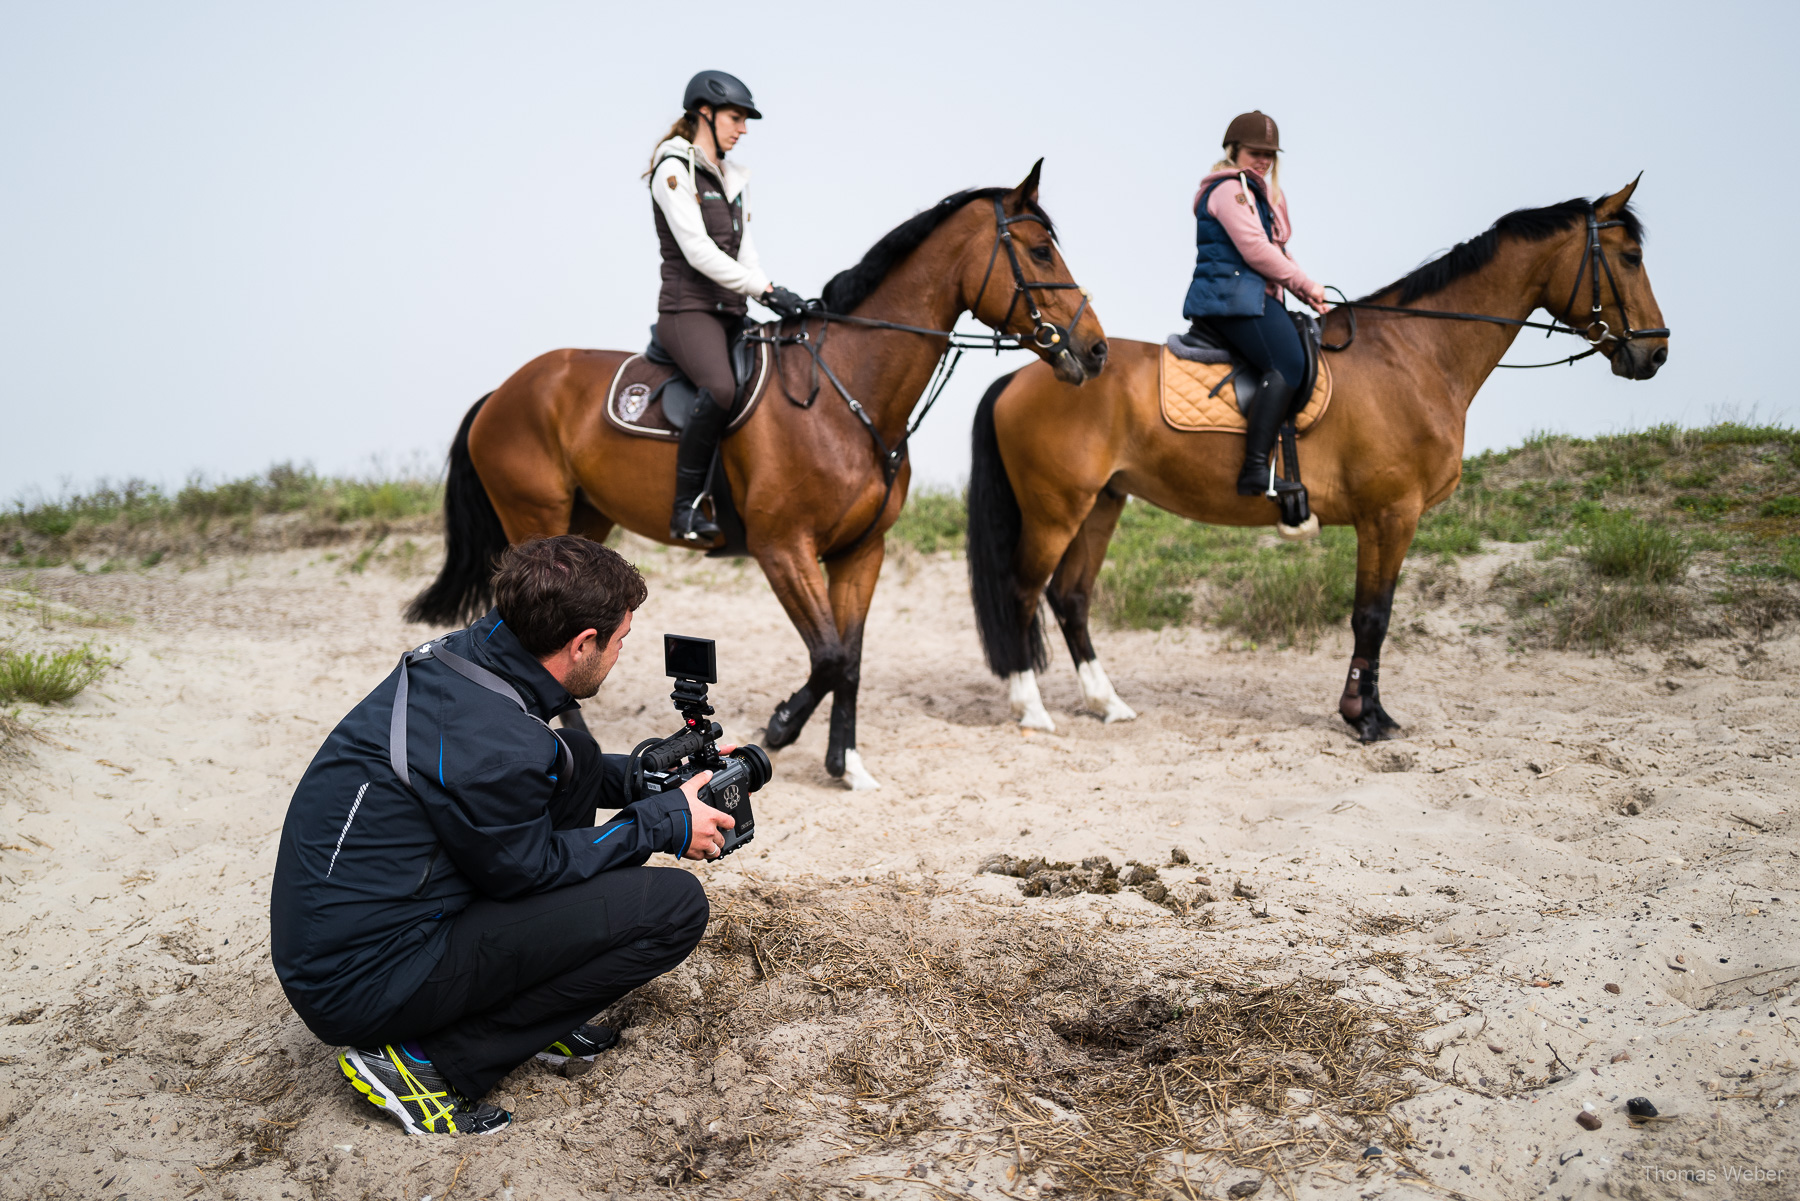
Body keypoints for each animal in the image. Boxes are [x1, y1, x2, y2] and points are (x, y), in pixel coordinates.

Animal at [412, 166, 1108, 788]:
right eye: (1040, 250)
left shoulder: (862, 551)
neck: (846, 394)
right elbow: (827, 655)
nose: (1095, 350)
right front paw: (779, 726)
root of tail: (504, 391)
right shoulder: (783, 549)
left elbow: (850, 660)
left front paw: (846, 765)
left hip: (585, 523)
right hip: (536, 517)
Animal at [972, 178, 1670, 741]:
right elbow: (1372, 617)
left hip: (1103, 503)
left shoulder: (1386, 518)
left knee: (1070, 598)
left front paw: (1369, 712)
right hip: (1057, 509)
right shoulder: (1390, 515)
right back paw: (1031, 709)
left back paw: (1107, 703)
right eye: (1630, 257)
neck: (1413, 356)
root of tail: (1028, 373)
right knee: (1022, 592)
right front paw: (1366, 718)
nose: (1656, 352)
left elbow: (1372, 618)